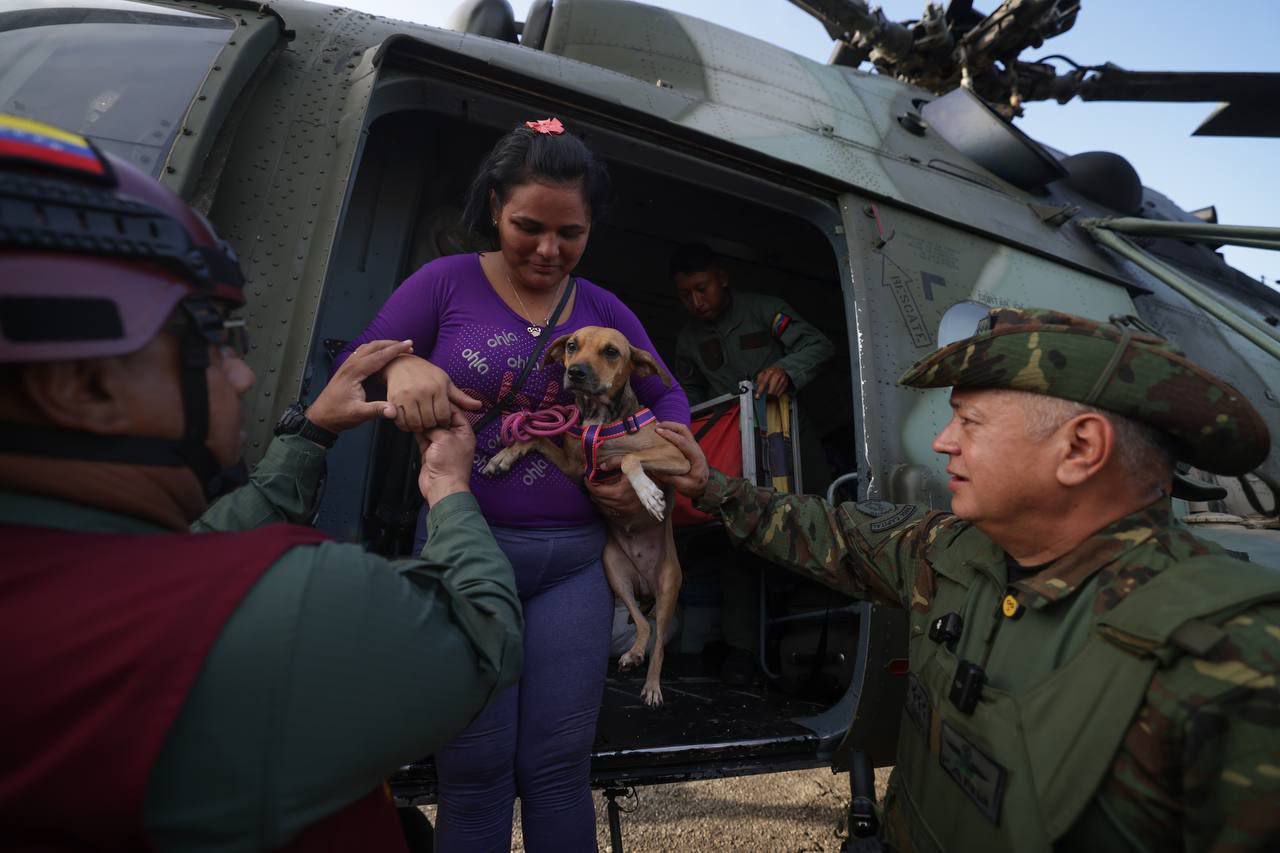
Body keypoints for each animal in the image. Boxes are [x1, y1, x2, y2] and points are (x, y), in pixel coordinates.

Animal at [481, 325, 691, 701]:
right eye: (571, 346)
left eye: (611, 352)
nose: (575, 372)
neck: (599, 421)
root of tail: (645, 581)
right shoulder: (575, 468)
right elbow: (535, 439)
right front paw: (504, 455)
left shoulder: (676, 458)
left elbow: (628, 458)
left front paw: (648, 494)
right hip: (616, 575)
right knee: (641, 624)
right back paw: (633, 652)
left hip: (668, 587)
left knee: (660, 646)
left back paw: (652, 686)